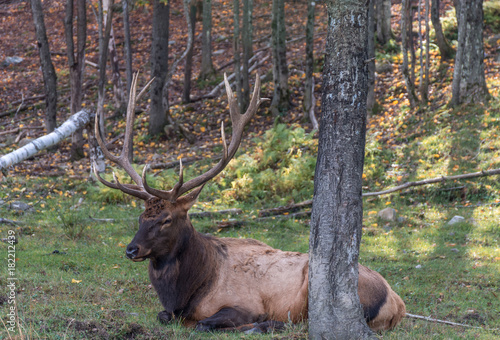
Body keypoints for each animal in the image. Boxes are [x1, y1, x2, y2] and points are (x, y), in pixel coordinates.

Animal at [94, 73, 406, 334]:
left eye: (166, 219)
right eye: (141, 217)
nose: (131, 249)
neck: (190, 288)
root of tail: (398, 304)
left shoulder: (244, 303)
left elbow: (202, 324)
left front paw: (245, 324)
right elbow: (163, 316)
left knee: (298, 323)